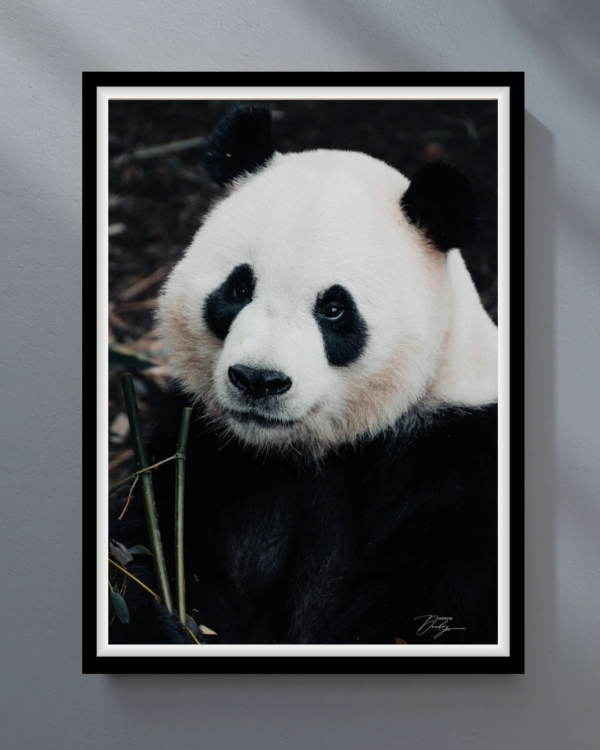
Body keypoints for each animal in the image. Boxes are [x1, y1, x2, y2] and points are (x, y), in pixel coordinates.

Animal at [110, 105, 498, 646]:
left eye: (334, 309)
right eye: (239, 288)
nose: (258, 380)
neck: (302, 453)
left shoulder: (458, 460)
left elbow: (428, 604)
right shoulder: (206, 447)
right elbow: (146, 544)